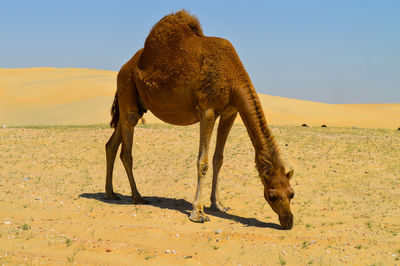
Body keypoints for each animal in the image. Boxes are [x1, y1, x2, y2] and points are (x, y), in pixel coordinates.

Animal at [104, 10, 296, 230]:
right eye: (272, 195)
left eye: (291, 193)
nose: (288, 221)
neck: (232, 76)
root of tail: (123, 67)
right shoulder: (208, 110)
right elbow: (202, 162)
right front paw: (198, 213)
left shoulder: (230, 112)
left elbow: (218, 159)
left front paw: (219, 204)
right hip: (127, 88)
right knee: (127, 150)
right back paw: (137, 196)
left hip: (135, 103)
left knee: (111, 144)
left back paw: (110, 193)